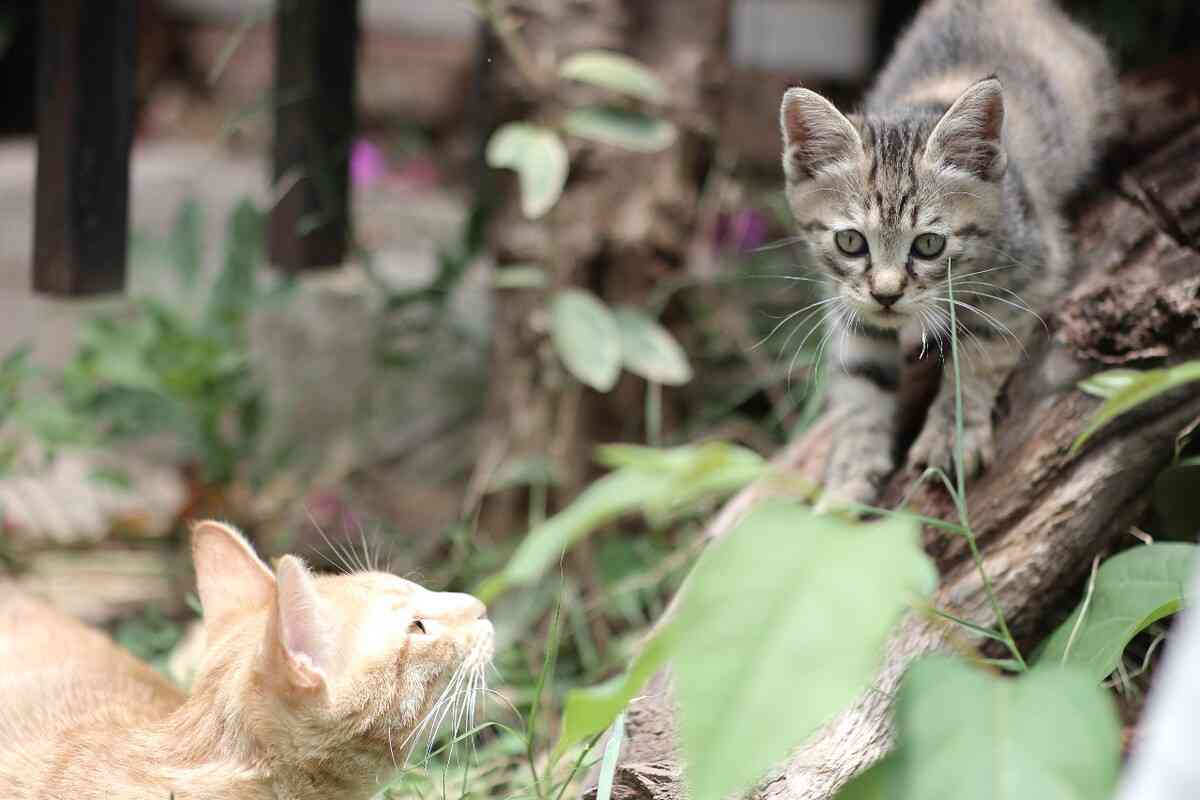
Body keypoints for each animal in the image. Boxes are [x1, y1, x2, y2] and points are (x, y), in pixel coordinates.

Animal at [782, 0, 1118, 506]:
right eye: (850, 241)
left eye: (928, 244)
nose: (887, 295)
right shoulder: (848, 301)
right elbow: (861, 385)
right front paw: (847, 477)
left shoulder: (1031, 268)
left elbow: (980, 353)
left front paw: (951, 432)